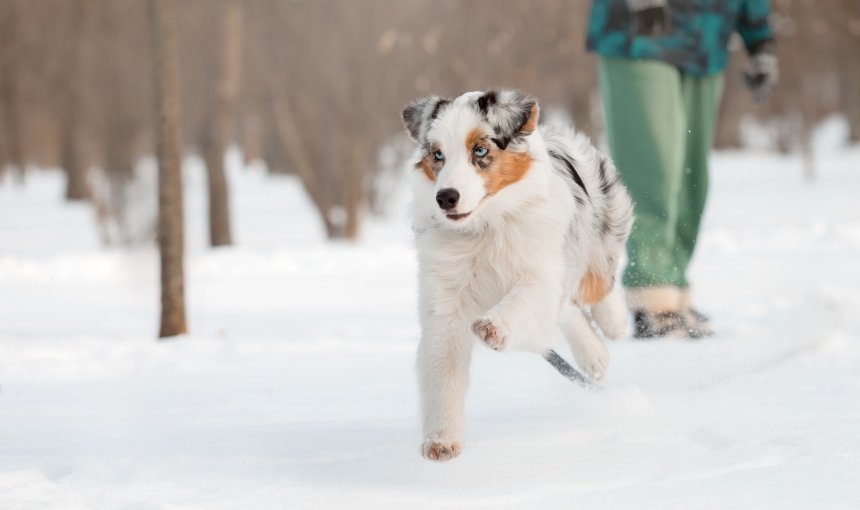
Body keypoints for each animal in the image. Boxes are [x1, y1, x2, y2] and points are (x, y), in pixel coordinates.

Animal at [400, 89, 636, 460]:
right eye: (437, 155)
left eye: (480, 150)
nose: (446, 197)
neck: (484, 226)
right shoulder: (444, 304)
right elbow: (443, 371)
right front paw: (441, 440)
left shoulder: (541, 270)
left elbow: (524, 297)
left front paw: (492, 328)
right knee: (566, 310)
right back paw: (594, 356)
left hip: (596, 234)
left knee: (596, 284)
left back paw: (613, 324)